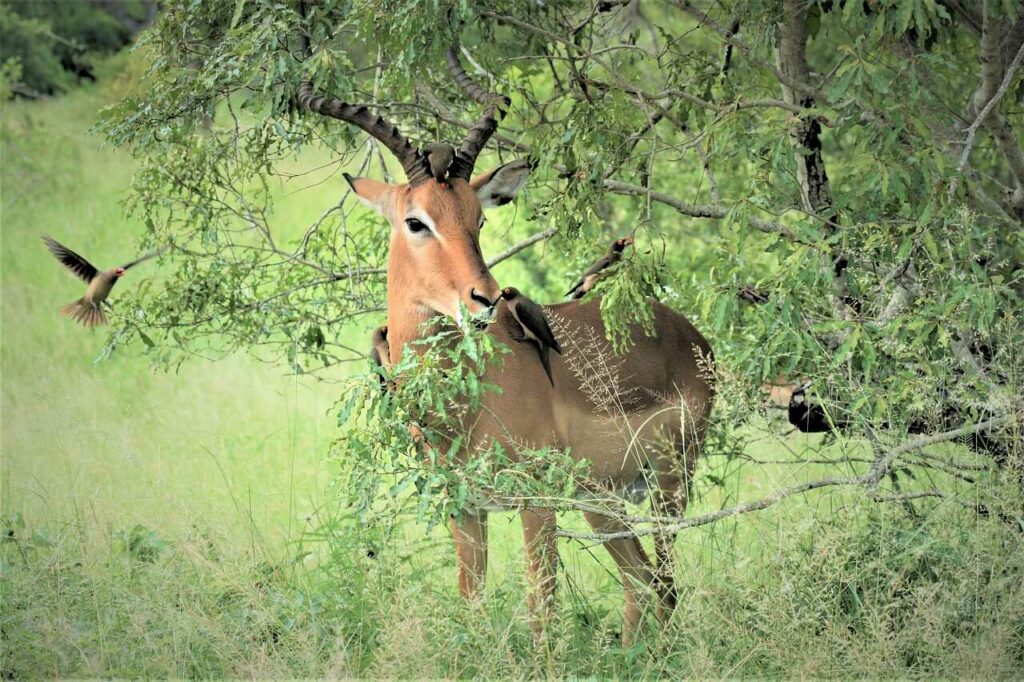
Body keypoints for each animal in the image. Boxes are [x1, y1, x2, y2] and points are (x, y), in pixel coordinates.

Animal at [296, 38, 712, 643]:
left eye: (478, 219)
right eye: (416, 221)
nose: (487, 297)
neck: (461, 406)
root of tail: (690, 336)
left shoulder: (536, 502)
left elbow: (543, 611)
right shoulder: (465, 507)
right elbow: (471, 607)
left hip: (665, 487)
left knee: (665, 584)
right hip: (602, 500)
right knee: (643, 586)